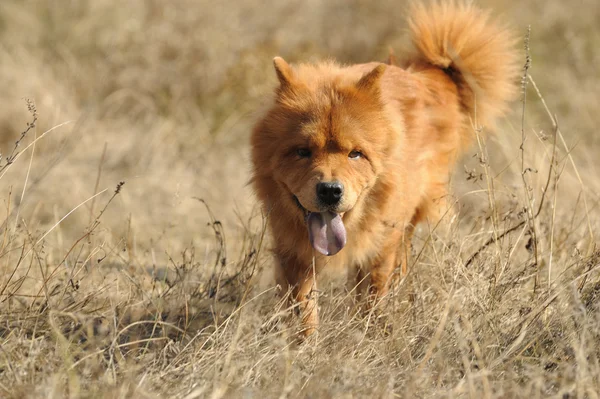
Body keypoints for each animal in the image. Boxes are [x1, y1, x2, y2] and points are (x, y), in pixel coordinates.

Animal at [250, 1, 520, 336]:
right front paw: (305, 345)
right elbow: (302, 311)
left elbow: (373, 296)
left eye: (355, 154)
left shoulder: (381, 243)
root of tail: (425, 75)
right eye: (302, 151)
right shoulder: (292, 251)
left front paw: (369, 335)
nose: (330, 191)